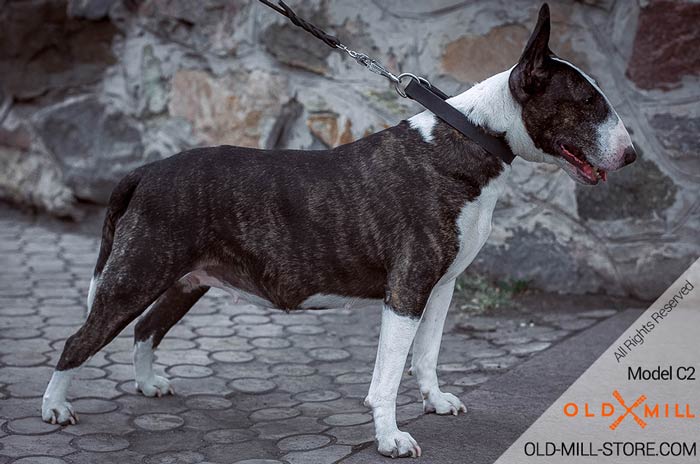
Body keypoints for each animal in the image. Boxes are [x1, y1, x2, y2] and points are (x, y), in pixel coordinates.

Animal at [42, 3, 636, 458]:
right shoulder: (407, 290)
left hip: (187, 278)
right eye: (588, 102)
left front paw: (436, 401)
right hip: (137, 273)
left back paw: (146, 384)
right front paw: (392, 438)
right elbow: (388, 375)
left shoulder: (442, 286)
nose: (631, 156)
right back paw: (55, 407)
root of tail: (146, 170)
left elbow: (427, 355)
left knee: (146, 328)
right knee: (79, 339)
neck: (471, 137)